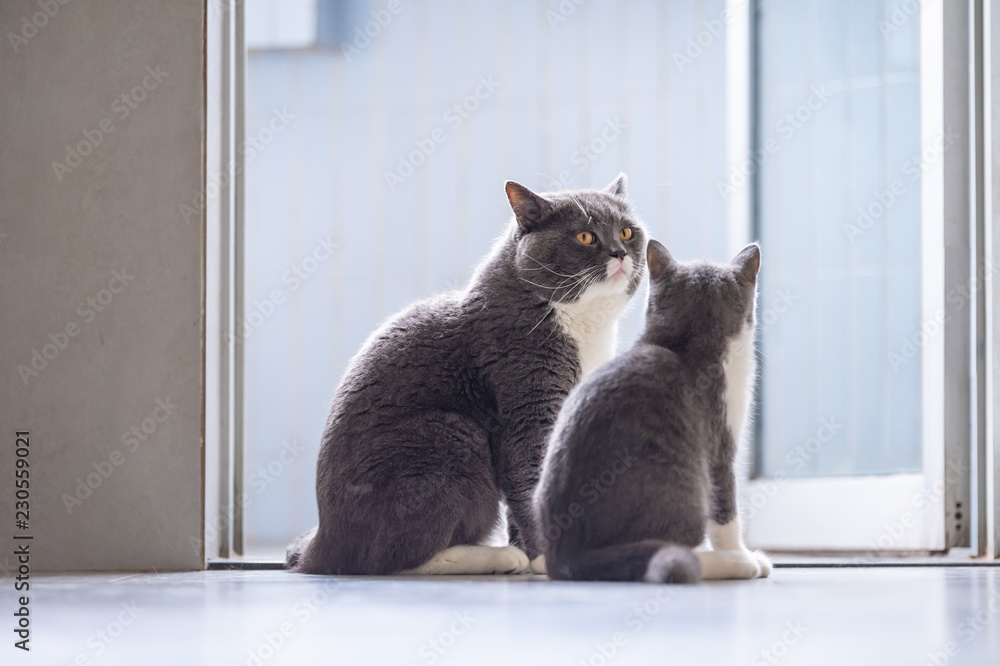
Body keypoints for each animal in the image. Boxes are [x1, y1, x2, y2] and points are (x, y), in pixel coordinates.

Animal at [290, 174, 648, 572]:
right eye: (585, 236)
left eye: (628, 232)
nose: (619, 252)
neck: (584, 324)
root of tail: (323, 542)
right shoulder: (525, 391)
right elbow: (529, 476)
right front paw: (543, 558)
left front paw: (531, 549)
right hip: (450, 435)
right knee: (395, 557)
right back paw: (495, 556)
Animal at [532, 239, 772, 580]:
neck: (687, 343)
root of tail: (567, 556)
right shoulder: (719, 446)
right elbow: (726, 512)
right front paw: (741, 554)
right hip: (683, 488)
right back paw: (732, 564)